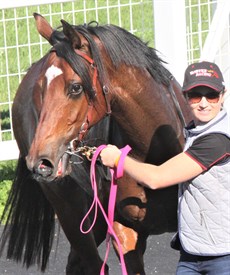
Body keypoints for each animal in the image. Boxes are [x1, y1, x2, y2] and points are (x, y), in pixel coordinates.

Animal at [0, 14, 192, 274]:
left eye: (75, 87)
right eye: (42, 88)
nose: (39, 160)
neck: (155, 157)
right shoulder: (123, 230)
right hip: (69, 209)